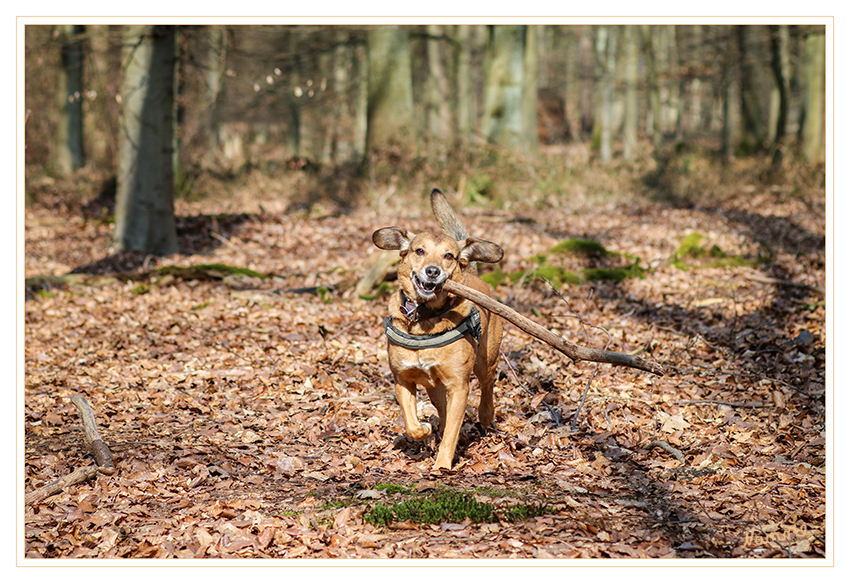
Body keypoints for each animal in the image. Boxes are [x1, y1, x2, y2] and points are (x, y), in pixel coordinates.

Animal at [372, 189, 504, 472]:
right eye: (419, 251)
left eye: (448, 256)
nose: (433, 271)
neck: (425, 319)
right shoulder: (403, 379)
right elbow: (412, 423)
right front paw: (424, 431)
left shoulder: (459, 386)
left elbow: (453, 429)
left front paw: (442, 464)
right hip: (435, 388)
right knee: (442, 409)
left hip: (485, 360)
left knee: (487, 385)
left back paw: (486, 416)